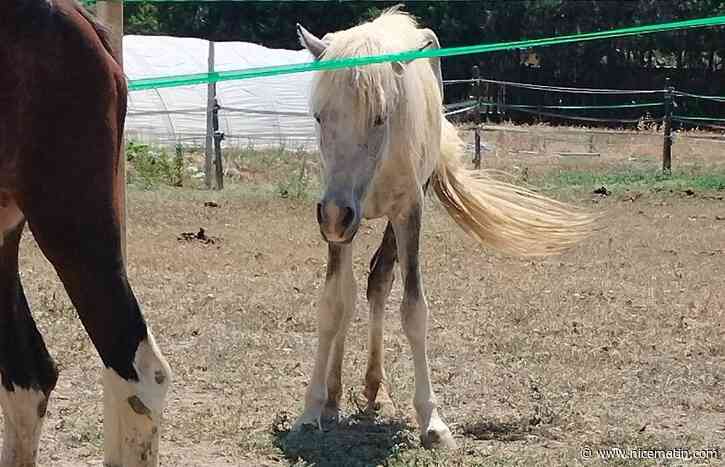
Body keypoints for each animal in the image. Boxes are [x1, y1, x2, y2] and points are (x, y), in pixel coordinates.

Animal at [295, 7, 594, 449]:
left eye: (380, 117)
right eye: (319, 117)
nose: (334, 214)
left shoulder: (408, 214)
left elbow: (413, 309)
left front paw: (432, 422)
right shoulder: (339, 221)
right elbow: (334, 304)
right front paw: (313, 410)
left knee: (379, 282)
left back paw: (375, 390)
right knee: (354, 293)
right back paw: (336, 398)